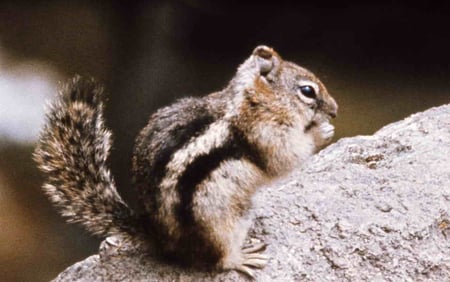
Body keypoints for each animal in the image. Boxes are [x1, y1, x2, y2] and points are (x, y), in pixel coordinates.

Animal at [34, 45, 338, 276]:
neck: (252, 99)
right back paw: (241, 258)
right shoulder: (266, 133)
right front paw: (321, 132)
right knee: (218, 259)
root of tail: (160, 239)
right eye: (308, 91)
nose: (335, 111)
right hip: (221, 221)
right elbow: (285, 158)